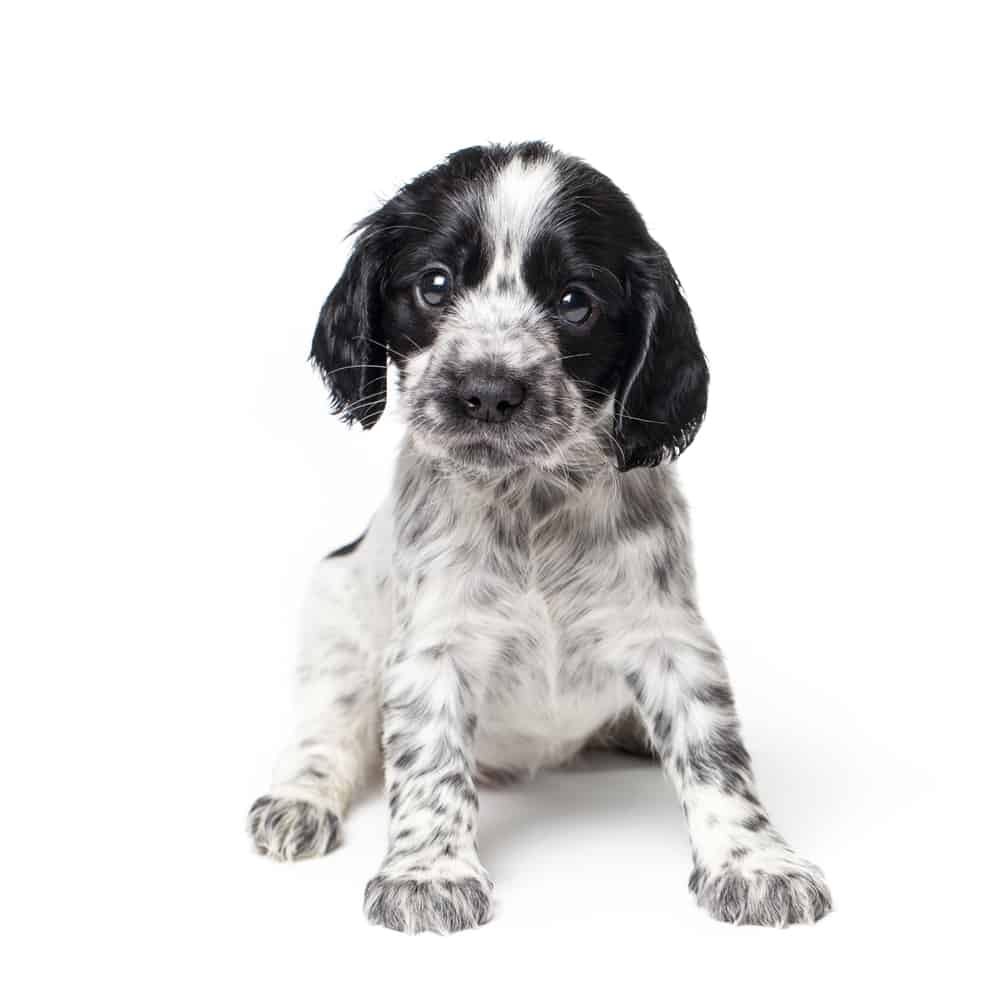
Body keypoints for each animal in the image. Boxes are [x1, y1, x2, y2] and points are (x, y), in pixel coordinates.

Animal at [246, 139, 832, 928]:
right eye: (434, 285)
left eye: (575, 303)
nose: (489, 392)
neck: (529, 501)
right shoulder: (433, 647)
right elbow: (429, 765)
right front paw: (429, 874)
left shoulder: (669, 638)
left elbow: (715, 757)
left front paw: (755, 863)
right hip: (332, 615)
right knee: (324, 732)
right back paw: (297, 802)